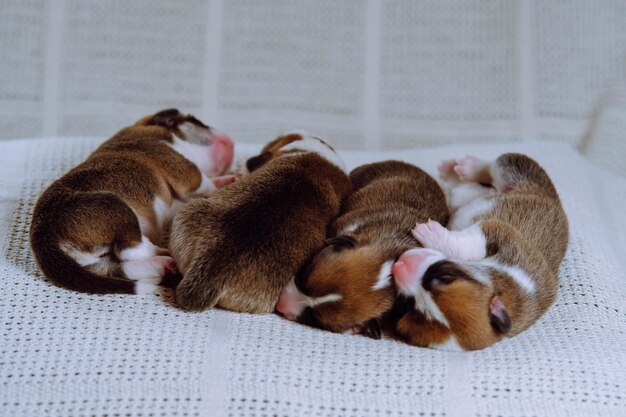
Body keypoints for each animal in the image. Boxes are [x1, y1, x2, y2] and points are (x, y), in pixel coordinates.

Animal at [29, 109, 234, 294]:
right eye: (197, 121)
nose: (231, 142)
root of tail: (42, 236)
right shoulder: (181, 167)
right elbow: (203, 182)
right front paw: (223, 184)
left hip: (93, 261)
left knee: (116, 267)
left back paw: (162, 264)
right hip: (115, 207)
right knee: (130, 250)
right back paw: (162, 252)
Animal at [392, 154, 568, 350]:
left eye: (409, 305)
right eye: (443, 276)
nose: (400, 264)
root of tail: (553, 198)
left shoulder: (504, 235)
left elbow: (467, 244)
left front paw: (431, 234)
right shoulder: (504, 236)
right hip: (516, 171)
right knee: (493, 168)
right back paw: (462, 168)